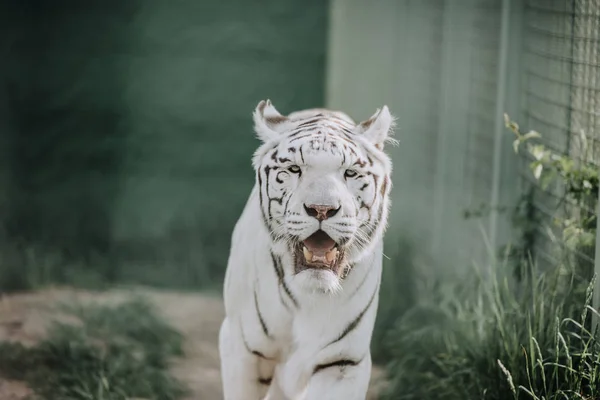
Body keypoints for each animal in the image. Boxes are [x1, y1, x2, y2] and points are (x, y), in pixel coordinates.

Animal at [218, 100, 396, 400]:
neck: (309, 292)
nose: (321, 209)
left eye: (350, 173)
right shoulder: (242, 348)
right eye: (294, 169)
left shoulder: (342, 362)